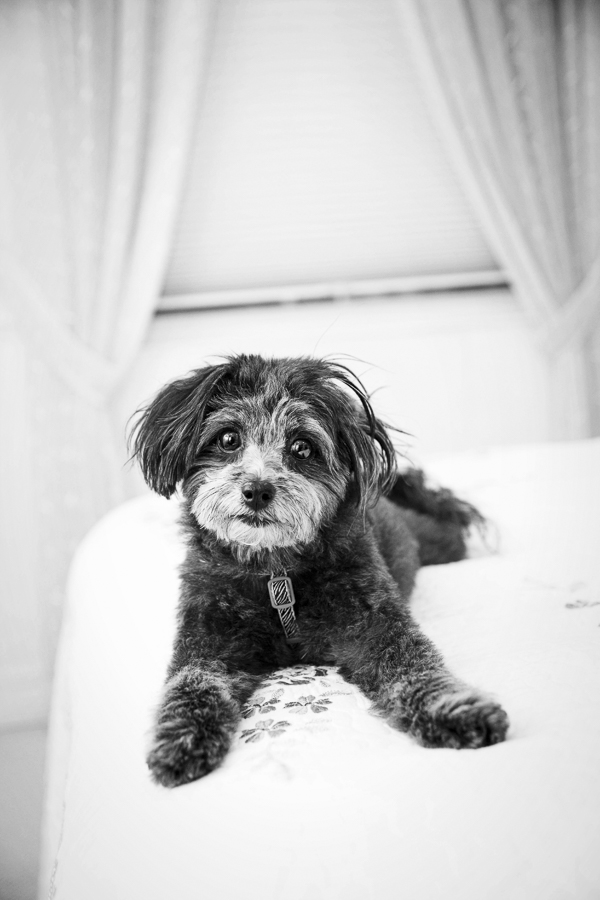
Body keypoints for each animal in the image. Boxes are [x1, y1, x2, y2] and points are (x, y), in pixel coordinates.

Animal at [130, 354, 508, 787]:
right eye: (228, 439)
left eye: (301, 447)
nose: (257, 491)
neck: (276, 570)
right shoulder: (206, 639)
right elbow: (191, 685)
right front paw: (182, 739)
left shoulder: (375, 623)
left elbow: (413, 666)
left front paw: (453, 708)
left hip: (439, 543)